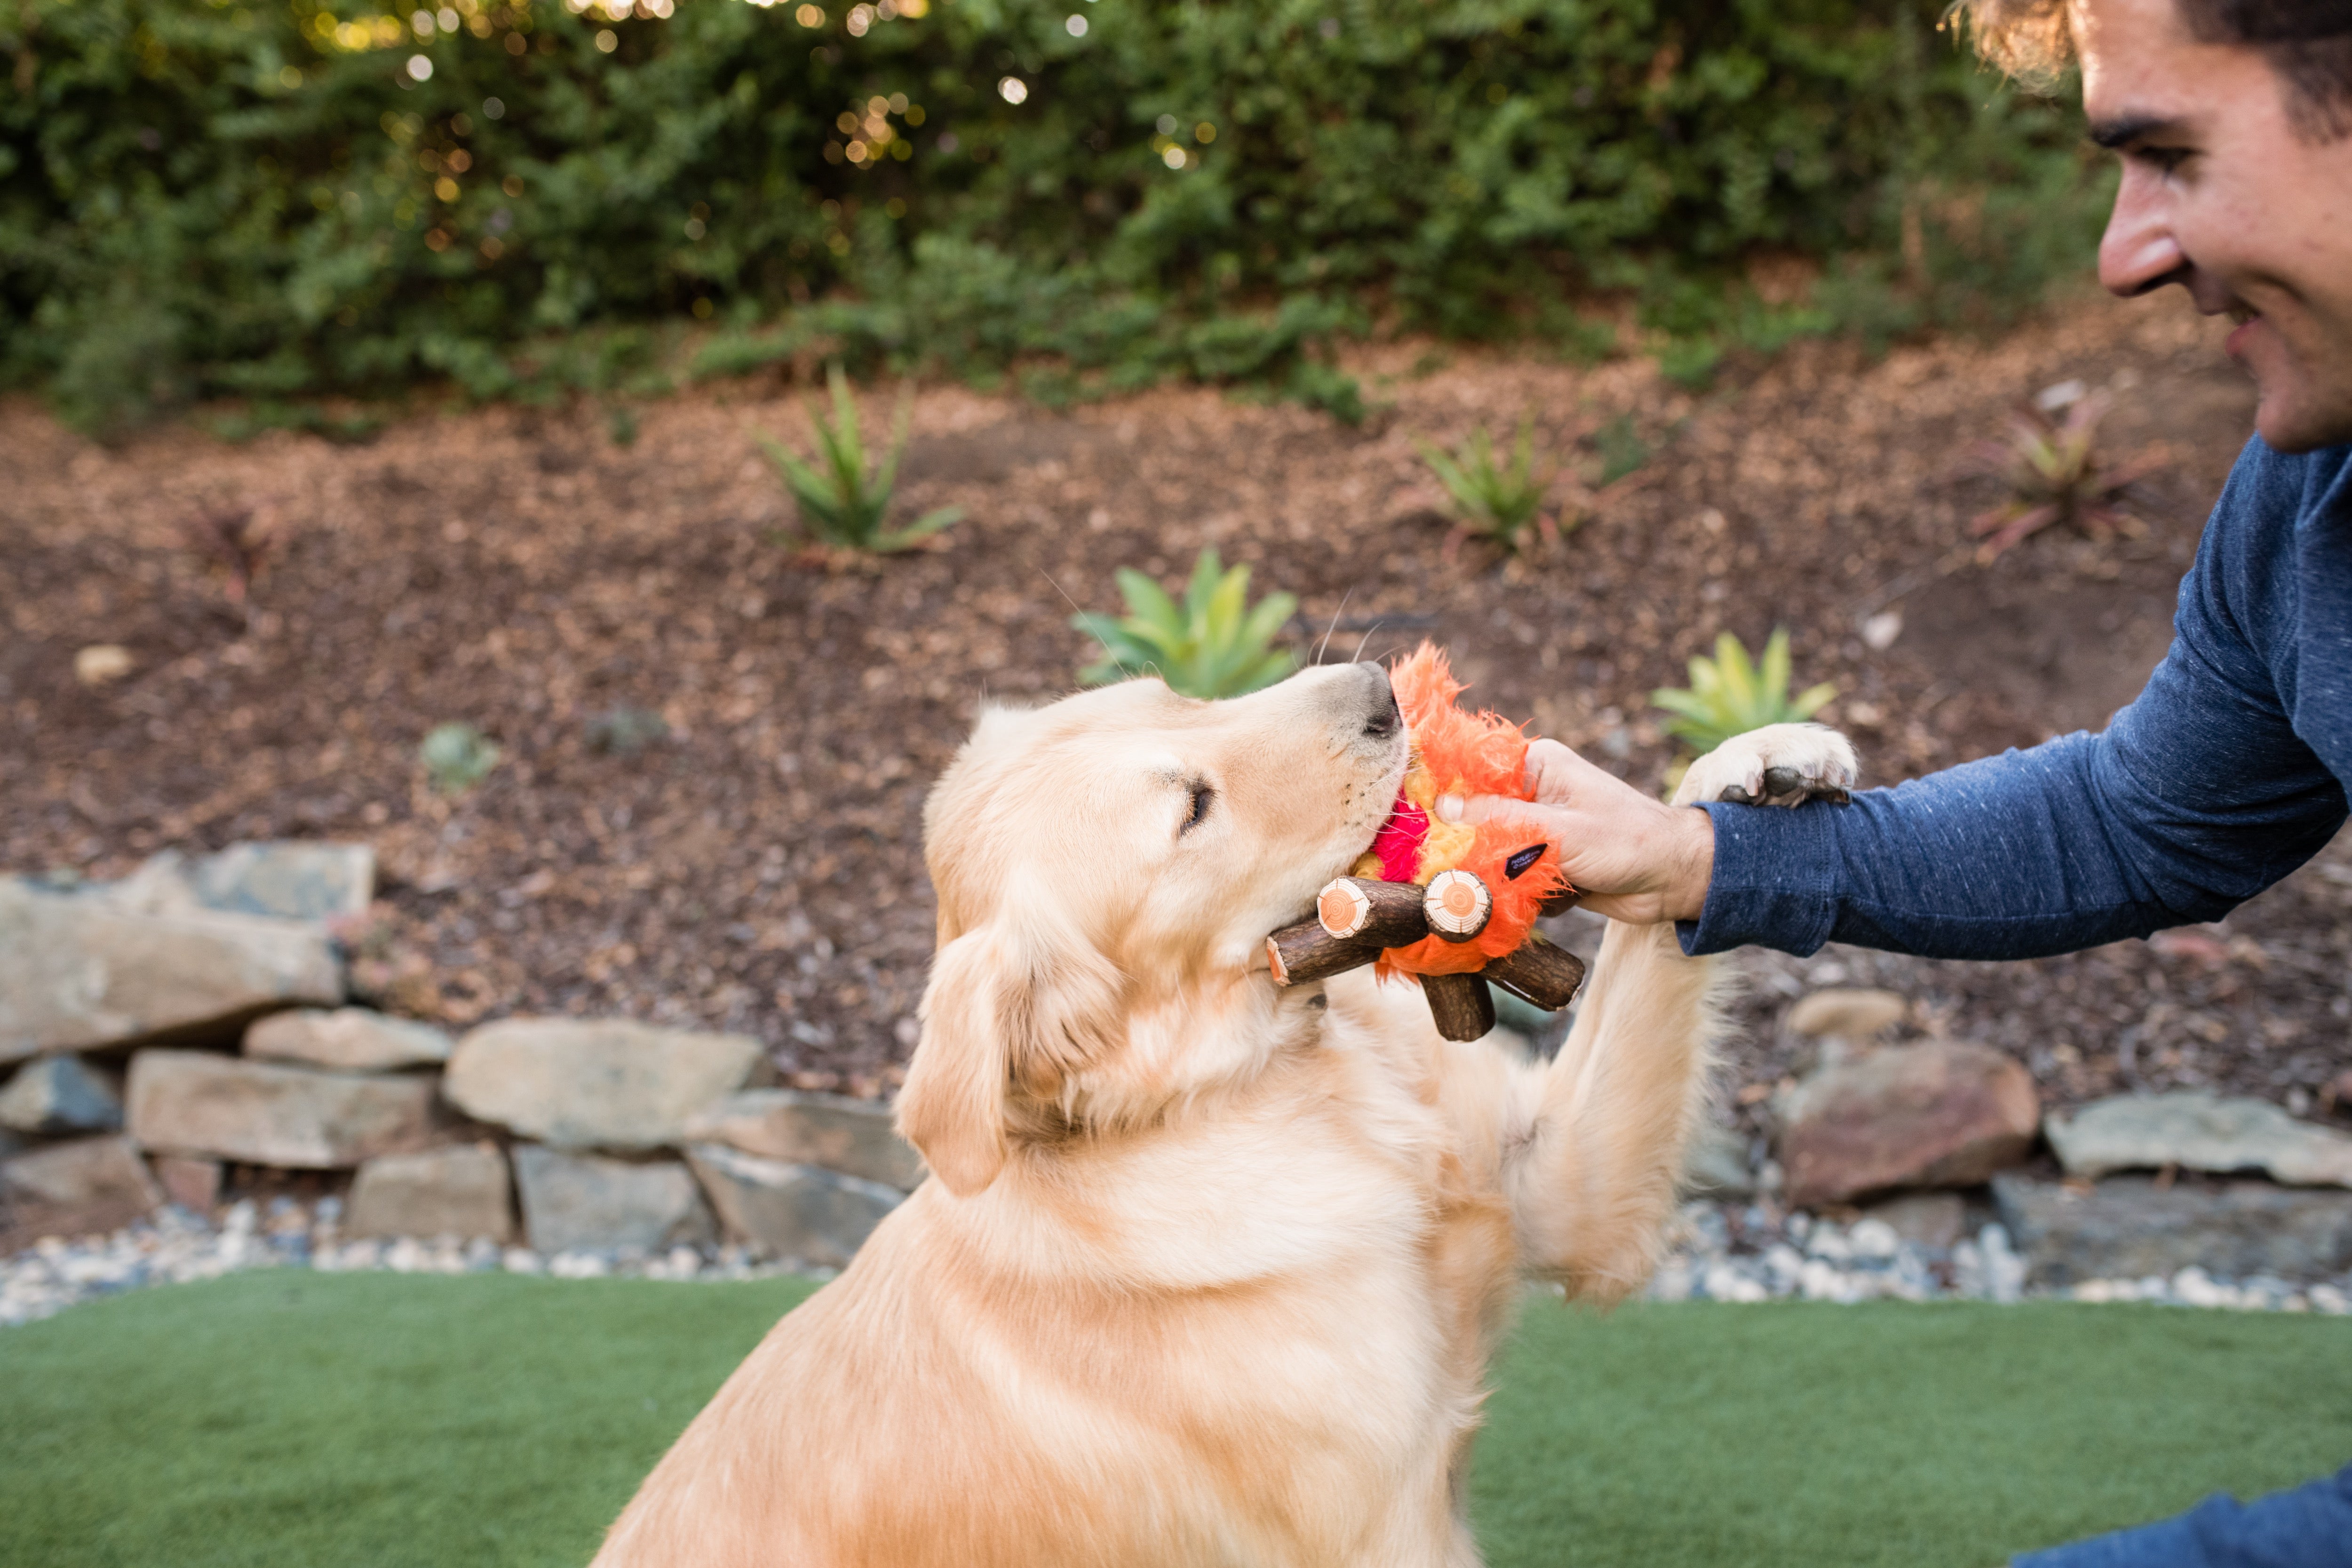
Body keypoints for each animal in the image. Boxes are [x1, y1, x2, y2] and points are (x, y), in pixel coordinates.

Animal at [602, 668, 1853, 1568]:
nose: (1378, 689)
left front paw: (1754, 761)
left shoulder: (1560, 1187)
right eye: (1191, 810)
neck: (1272, 1082)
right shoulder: (1383, 1528)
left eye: (1168, 689)